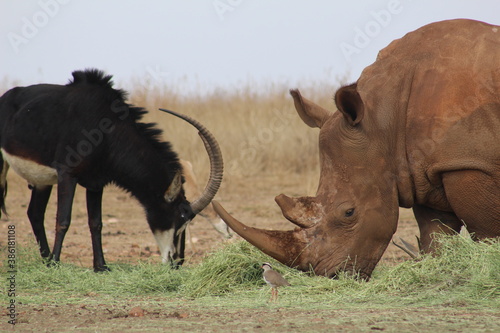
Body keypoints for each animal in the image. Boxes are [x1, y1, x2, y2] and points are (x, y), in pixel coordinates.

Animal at [0, 68, 223, 272]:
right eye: (180, 217)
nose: (177, 262)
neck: (106, 130)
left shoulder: (96, 183)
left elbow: (96, 223)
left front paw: (101, 266)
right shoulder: (67, 175)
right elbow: (63, 220)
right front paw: (57, 263)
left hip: (41, 182)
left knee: (35, 213)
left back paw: (45, 261)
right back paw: (50, 261)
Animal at [214, 18, 500, 278]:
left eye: (349, 212)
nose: (329, 275)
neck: (384, 121)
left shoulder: (469, 165)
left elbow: (486, 233)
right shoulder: (424, 170)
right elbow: (436, 237)